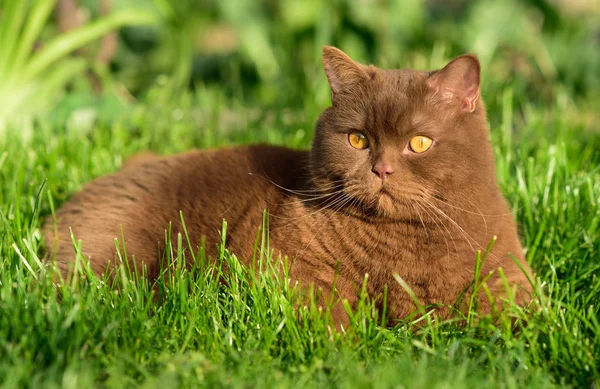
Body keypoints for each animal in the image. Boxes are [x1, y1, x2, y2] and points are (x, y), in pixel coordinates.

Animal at [47, 46, 536, 324]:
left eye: (419, 143)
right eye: (358, 139)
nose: (381, 170)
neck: (400, 243)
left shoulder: (506, 276)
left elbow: (517, 319)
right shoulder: (288, 267)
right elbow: (327, 316)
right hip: (111, 256)